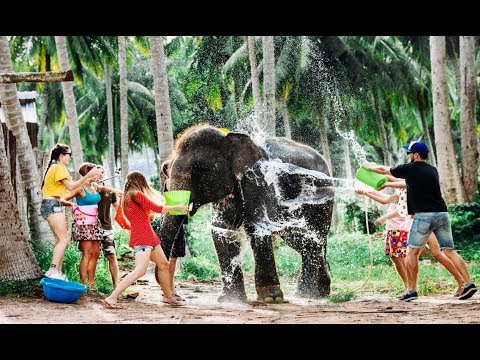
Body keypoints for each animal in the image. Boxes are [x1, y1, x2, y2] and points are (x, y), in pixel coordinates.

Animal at [158, 125, 334, 302]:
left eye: (200, 170)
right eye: (167, 171)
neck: (229, 138)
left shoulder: (257, 181)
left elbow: (256, 225)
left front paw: (270, 298)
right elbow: (222, 229)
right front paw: (230, 299)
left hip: (321, 198)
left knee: (311, 238)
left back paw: (304, 294)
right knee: (301, 239)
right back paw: (320, 291)